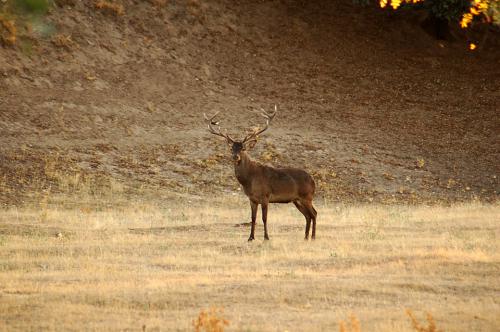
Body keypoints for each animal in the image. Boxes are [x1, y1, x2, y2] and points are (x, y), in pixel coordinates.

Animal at [203, 106, 316, 241]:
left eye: (243, 148)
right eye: (231, 148)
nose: (235, 156)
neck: (249, 180)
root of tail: (313, 180)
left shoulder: (265, 196)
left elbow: (264, 218)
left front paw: (266, 237)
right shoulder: (252, 199)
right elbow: (253, 218)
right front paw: (250, 238)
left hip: (307, 196)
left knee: (314, 214)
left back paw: (313, 237)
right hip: (297, 199)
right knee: (308, 215)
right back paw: (306, 237)